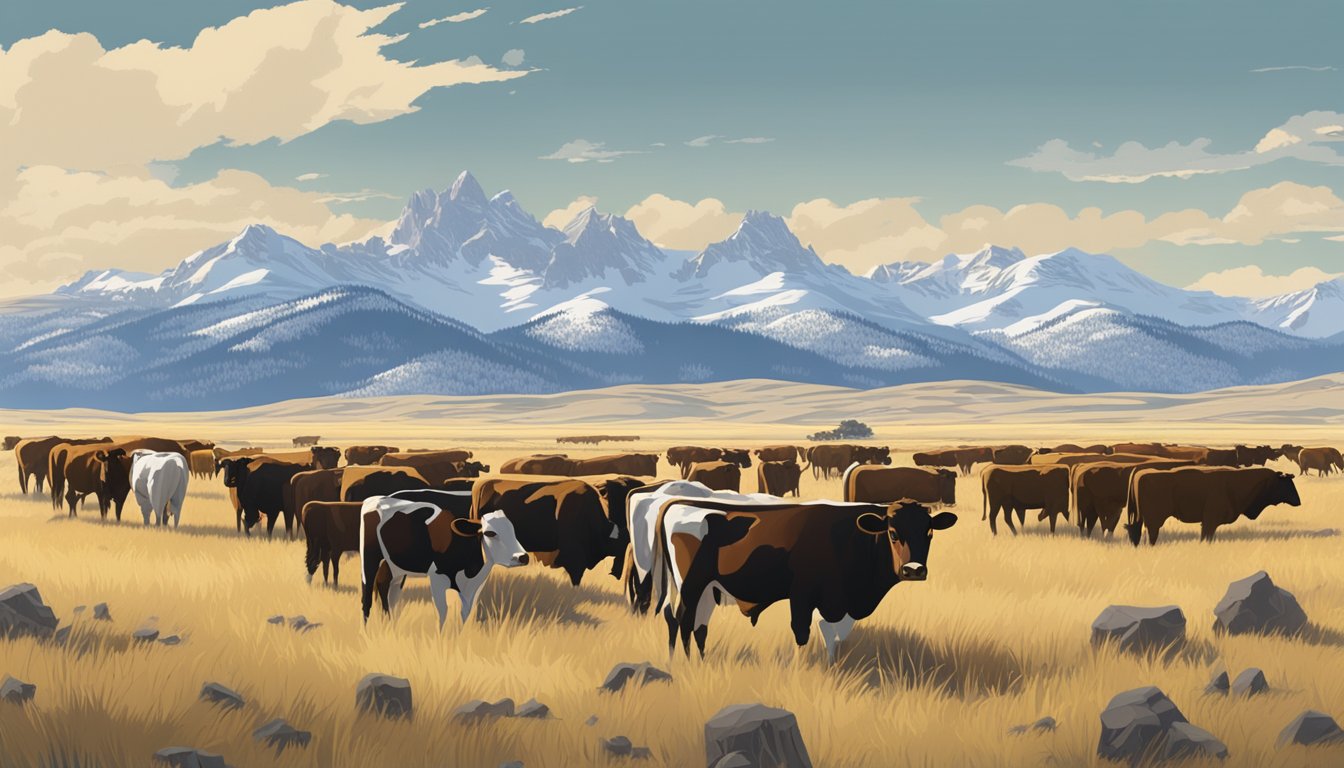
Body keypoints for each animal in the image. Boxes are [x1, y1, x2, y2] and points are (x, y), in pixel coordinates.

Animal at [362, 494, 529, 626]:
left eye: (513, 531)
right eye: (490, 533)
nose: (523, 557)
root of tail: (376, 498)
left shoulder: (473, 588)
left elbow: (465, 613)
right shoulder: (437, 579)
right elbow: (443, 613)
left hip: (395, 567)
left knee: (387, 591)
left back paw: (391, 626)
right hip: (369, 561)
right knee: (367, 597)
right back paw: (366, 631)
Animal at [653, 497, 956, 661]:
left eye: (929, 533)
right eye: (892, 533)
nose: (914, 570)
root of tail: (681, 503)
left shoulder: (836, 602)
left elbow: (833, 637)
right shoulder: (802, 594)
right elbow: (802, 633)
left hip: (709, 590)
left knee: (698, 626)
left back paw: (700, 662)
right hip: (691, 585)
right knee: (683, 620)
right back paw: (687, 664)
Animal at [1123, 468, 1300, 546]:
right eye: (1287, 483)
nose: (1298, 501)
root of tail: (1140, 473)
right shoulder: (1210, 521)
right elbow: (1206, 537)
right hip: (1154, 520)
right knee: (1151, 534)